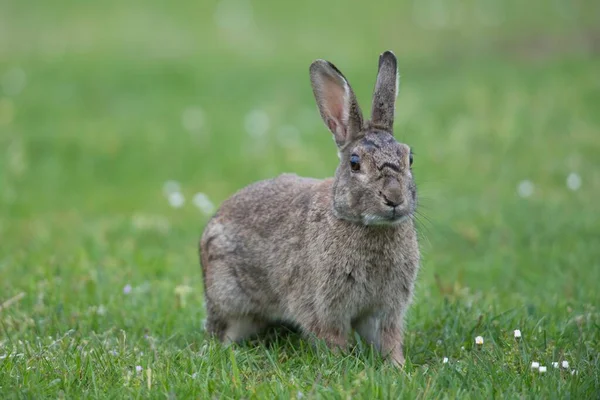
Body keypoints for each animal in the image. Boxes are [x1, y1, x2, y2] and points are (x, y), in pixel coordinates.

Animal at [199, 50, 420, 366]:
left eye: (409, 157)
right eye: (355, 163)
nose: (393, 197)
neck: (363, 225)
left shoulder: (385, 310)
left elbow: (389, 340)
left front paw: (397, 367)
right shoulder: (323, 306)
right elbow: (331, 337)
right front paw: (341, 364)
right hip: (229, 298)